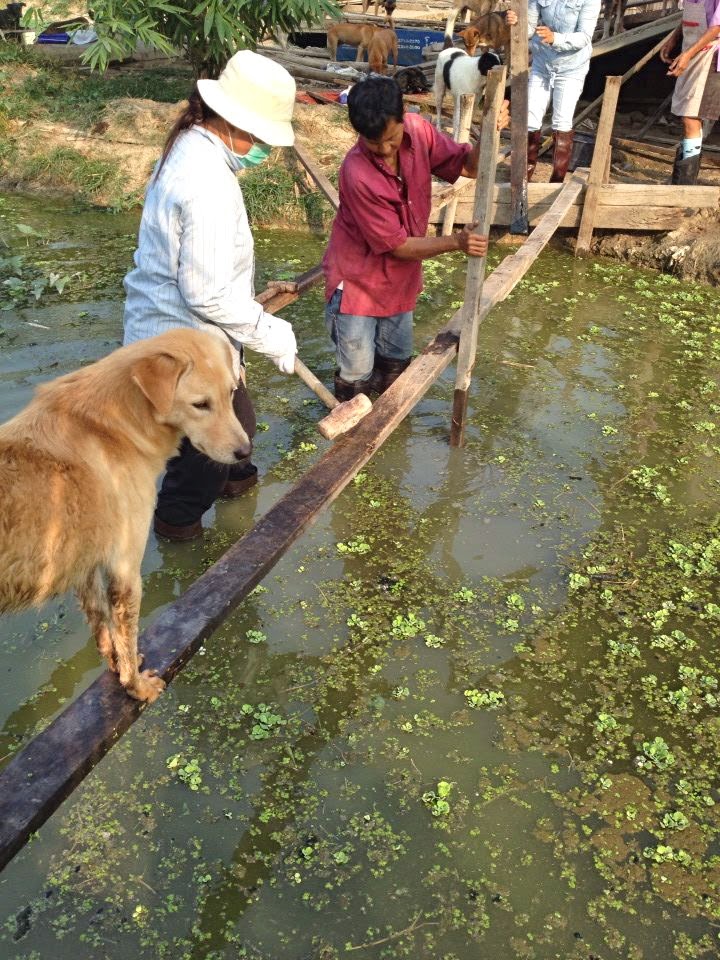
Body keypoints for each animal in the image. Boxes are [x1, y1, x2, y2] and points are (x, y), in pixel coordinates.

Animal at [0, 329, 250, 703]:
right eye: (200, 404)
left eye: (232, 393)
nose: (245, 451)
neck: (115, 427)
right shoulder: (125, 568)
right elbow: (126, 634)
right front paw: (136, 687)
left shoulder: (87, 567)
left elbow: (104, 630)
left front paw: (116, 666)